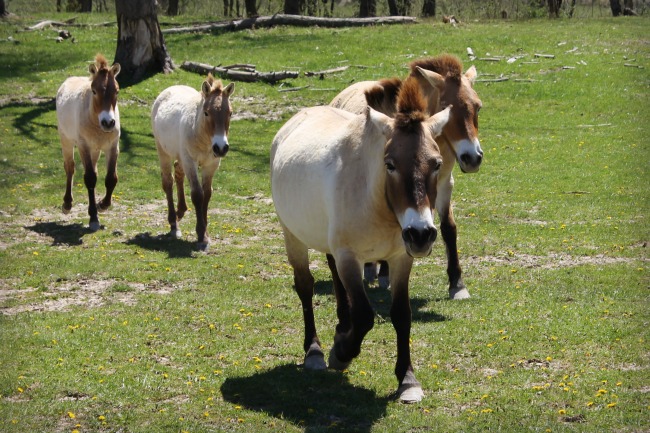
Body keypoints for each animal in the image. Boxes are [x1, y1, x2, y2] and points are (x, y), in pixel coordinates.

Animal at [56, 53, 121, 233]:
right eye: (94, 91)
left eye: (117, 91)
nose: (108, 123)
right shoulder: (83, 146)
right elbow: (90, 178)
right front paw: (93, 218)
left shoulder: (112, 147)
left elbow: (111, 178)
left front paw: (102, 205)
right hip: (67, 141)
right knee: (70, 168)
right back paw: (67, 204)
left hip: (95, 150)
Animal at [151, 73, 234, 250]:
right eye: (207, 113)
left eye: (230, 113)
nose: (221, 148)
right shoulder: (190, 162)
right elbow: (197, 194)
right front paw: (201, 234)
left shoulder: (211, 165)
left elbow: (207, 194)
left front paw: (206, 233)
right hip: (163, 152)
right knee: (168, 182)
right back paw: (173, 224)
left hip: (180, 157)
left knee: (178, 174)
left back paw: (180, 211)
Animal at [270, 77, 450, 402]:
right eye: (390, 164)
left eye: (437, 163)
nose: (420, 234)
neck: (376, 201)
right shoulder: (349, 257)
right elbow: (365, 315)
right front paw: (341, 354)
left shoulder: (400, 259)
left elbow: (401, 314)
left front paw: (407, 380)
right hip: (294, 237)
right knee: (305, 287)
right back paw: (314, 352)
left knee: (335, 280)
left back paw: (342, 327)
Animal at [330, 54, 480, 298]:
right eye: (447, 108)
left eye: (478, 107)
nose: (473, 158)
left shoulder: (445, 184)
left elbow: (449, 228)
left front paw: (457, 284)